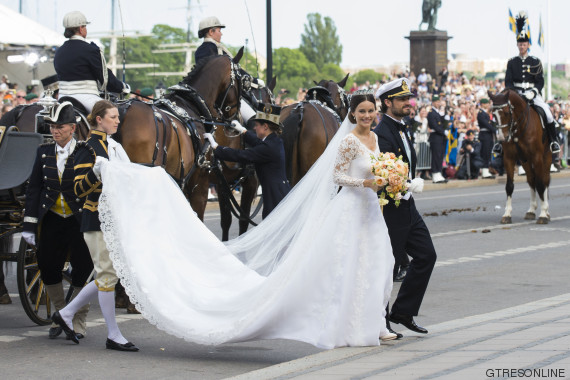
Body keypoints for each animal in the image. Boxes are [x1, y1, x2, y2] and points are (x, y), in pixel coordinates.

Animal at [488, 89, 552, 224]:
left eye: (507, 112)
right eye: (493, 114)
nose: (502, 138)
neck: (518, 128)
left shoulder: (537, 157)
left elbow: (540, 184)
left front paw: (543, 215)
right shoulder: (509, 158)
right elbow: (509, 186)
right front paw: (507, 214)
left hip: (546, 158)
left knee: (544, 180)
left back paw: (546, 211)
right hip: (525, 161)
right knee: (531, 180)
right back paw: (531, 210)